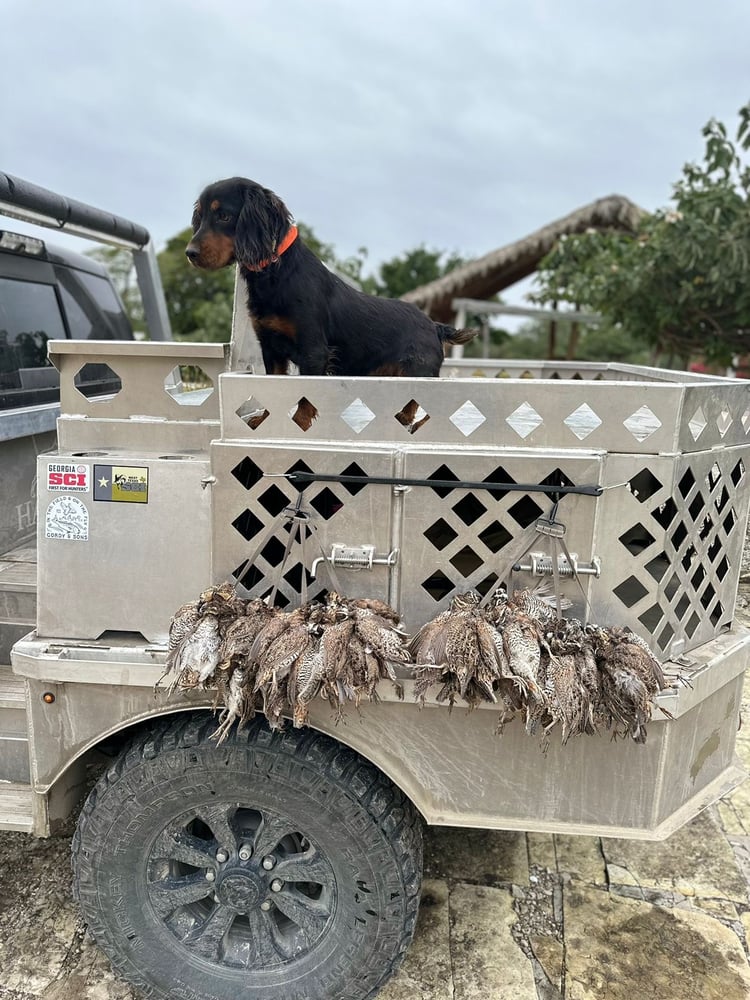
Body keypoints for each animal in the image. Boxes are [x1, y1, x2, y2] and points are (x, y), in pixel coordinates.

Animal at [185, 178, 476, 428]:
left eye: (224, 216)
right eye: (200, 215)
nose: (190, 253)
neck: (277, 273)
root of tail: (435, 325)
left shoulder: (313, 351)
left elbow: (304, 396)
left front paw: (300, 425)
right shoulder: (271, 348)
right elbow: (275, 389)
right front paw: (266, 419)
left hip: (419, 370)